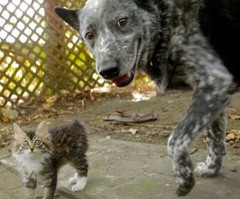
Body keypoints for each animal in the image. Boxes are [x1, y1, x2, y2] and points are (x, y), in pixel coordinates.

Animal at [54, 0, 240, 196]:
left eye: (122, 21)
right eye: (89, 35)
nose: (107, 71)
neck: (167, 20)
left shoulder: (214, 82)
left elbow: (175, 141)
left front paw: (185, 180)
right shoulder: (215, 92)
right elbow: (214, 138)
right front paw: (211, 169)